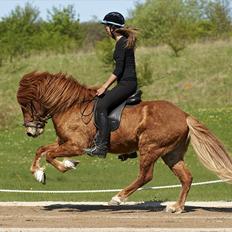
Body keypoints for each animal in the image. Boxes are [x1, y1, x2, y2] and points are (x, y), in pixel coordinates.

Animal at [16, 71, 232, 213]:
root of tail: (184, 115)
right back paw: (177, 208)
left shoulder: (77, 145)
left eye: (26, 104)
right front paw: (39, 173)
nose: (30, 131)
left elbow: (50, 155)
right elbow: (41, 149)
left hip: (150, 148)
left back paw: (117, 198)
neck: (70, 106)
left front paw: (67, 165)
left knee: (145, 176)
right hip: (172, 154)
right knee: (186, 177)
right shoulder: (64, 142)